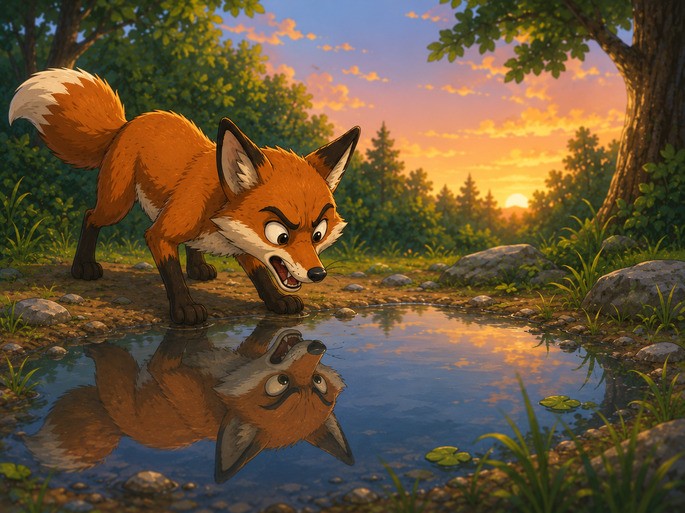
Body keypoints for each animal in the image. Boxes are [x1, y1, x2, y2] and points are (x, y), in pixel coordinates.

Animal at [8, 68, 360, 324]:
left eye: (318, 234)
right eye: (281, 235)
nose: (318, 274)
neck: (217, 208)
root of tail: (129, 122)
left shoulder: (244, 245)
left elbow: (262, 275)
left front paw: (277, 301)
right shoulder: (159, 234)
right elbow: (172, 274)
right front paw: (186, 309)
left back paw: (198, 269)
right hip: (117, 203)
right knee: (90, 216)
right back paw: (83, 267)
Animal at [25, 320, 353, 482]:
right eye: (319, 382)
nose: (317, 346)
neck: (219, 390)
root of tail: (121, 428)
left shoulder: (168, 374)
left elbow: (165, 361)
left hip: (119, 384)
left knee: (111, 363)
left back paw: (94, 349)